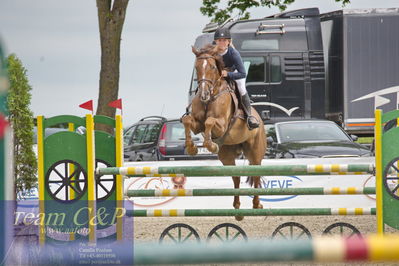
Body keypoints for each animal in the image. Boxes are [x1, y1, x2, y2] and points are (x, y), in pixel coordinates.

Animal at [183, 45, 268, 220]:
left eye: (212, 67)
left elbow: (209, 122)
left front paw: (210, 145)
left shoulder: (221, 124)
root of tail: (261, 120)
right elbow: (188, 120)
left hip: (255, 152)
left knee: (256, 173)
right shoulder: (197, 124)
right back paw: (237, 209)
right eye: (196, 67)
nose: (203, 94)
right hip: (227, 155)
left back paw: (257, 204)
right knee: (236, 177)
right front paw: (192, 148)